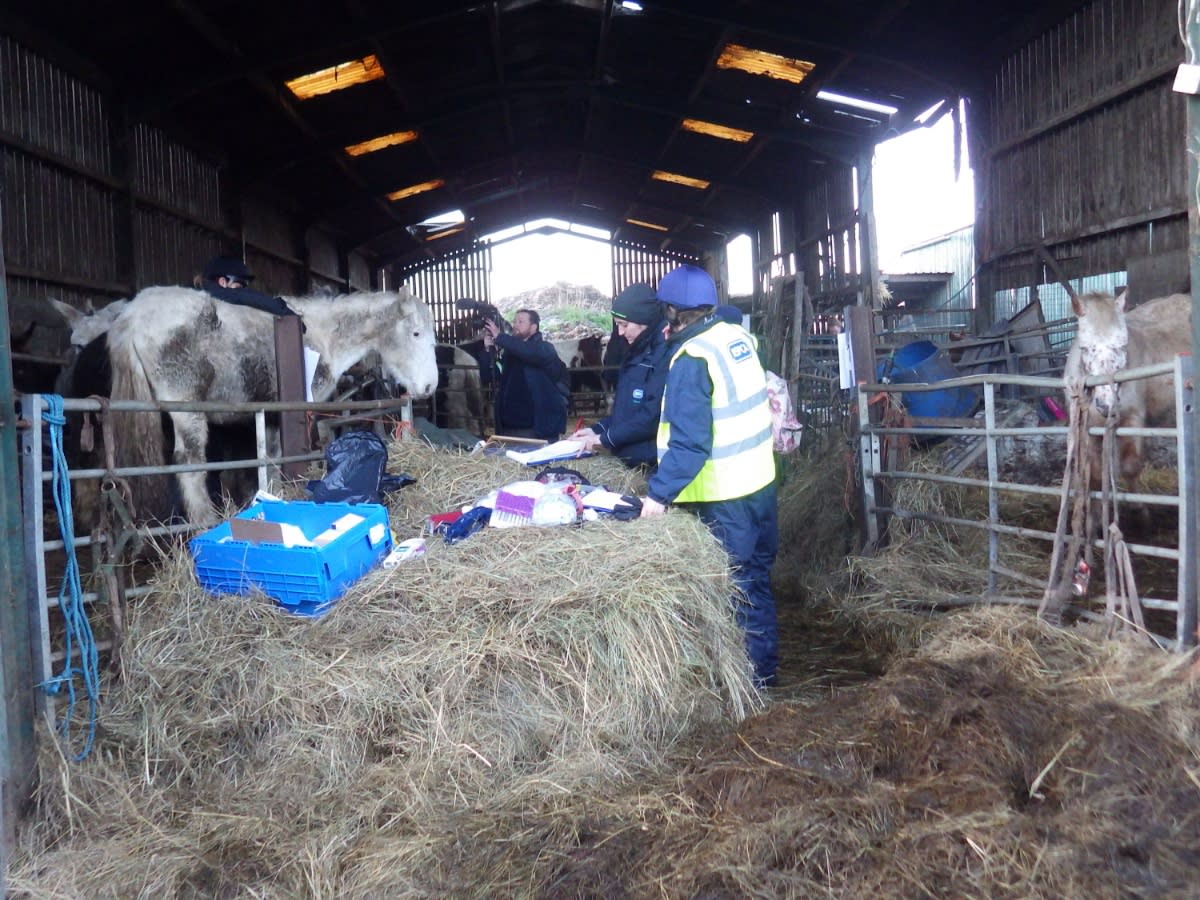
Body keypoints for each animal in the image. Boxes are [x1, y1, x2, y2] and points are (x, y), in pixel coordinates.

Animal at [109, 286, 441, 528]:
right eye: (415, 333)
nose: (429, 387)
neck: (321, 336)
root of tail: (133, 315)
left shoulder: (269, 415)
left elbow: (268, 459)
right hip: (186, 409)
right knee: (190, 464)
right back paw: (206, 522)